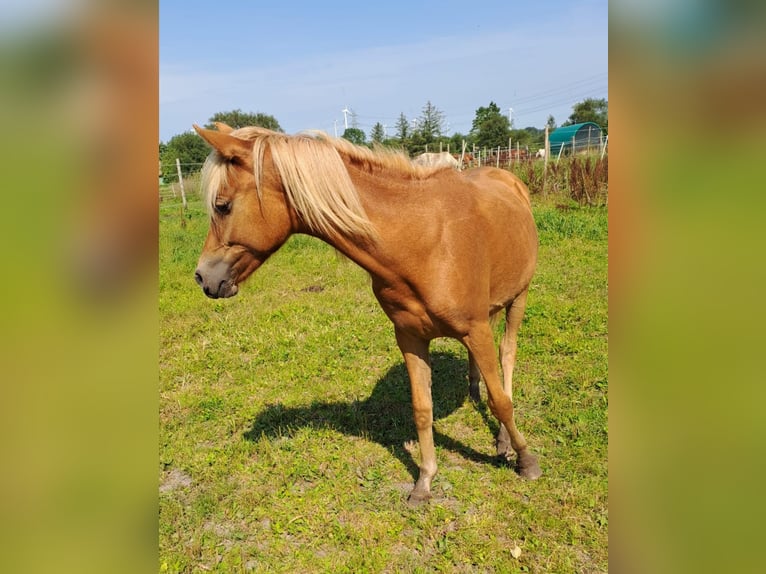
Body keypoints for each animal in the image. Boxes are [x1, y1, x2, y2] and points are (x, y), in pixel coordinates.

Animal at [195, 122, 544, 504]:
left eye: (222, 206)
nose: (202, 277)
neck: (424, 240)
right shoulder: (411, 337)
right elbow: (422, 409)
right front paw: (424, 481)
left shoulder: (475, 329)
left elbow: (501, 402)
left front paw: (526, 460)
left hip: (519, 298)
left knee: (506, 357)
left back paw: (504, 440)